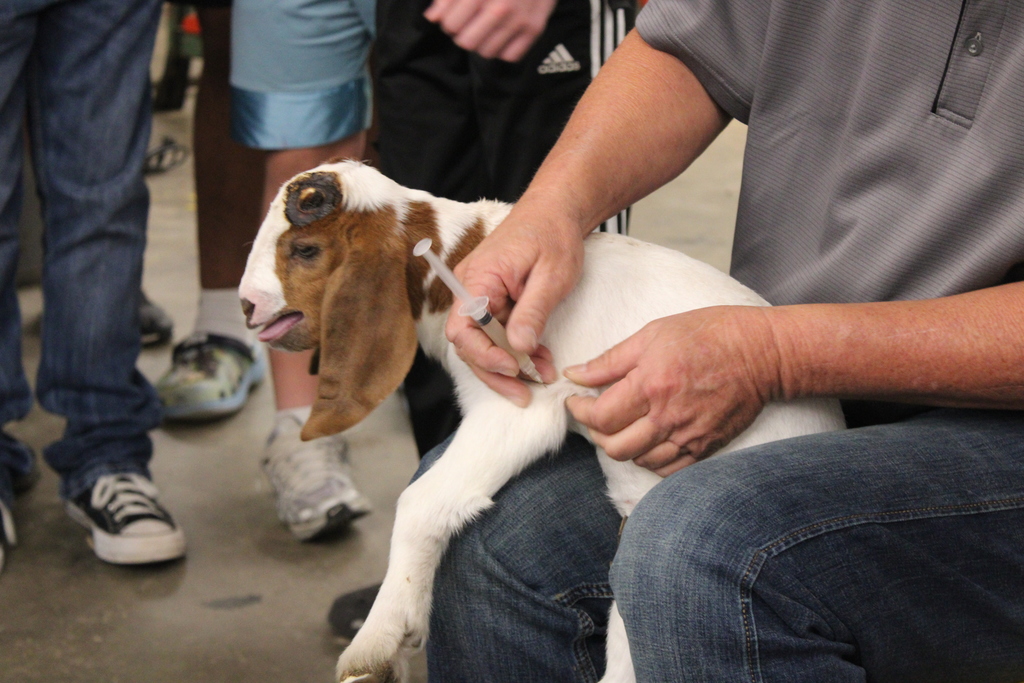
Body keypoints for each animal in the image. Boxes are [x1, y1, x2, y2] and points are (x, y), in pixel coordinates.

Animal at [239, 160, 846, 683]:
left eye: (305, 250)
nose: (246, 305)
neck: (454, 258)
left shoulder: (518, 405)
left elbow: (422, 500)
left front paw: (378, 641)